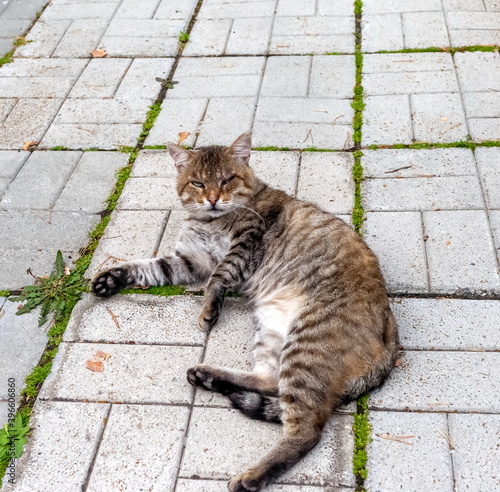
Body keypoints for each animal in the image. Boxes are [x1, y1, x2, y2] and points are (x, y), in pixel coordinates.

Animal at [92, 133, 400, 490]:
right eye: (198, 183)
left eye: (227, 180)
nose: (213, 199)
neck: (209, 221)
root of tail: (392, 337)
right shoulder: (190, 261)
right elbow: (147, 268)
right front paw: (111, 278)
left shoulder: (245, 244)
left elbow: (219, 275)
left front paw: (209, 308)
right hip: (274, 333)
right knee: (270, 381)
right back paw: (210, 376)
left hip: (306, 345)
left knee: (306, 429)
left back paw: (251, 475)